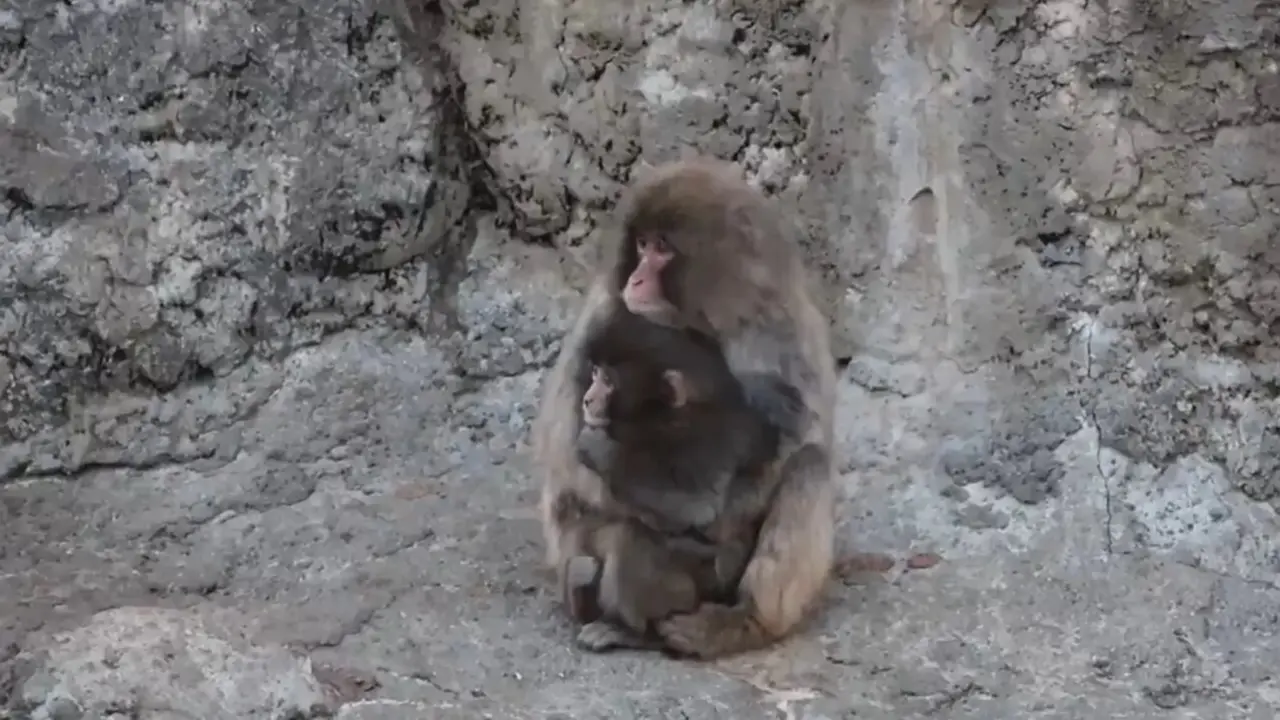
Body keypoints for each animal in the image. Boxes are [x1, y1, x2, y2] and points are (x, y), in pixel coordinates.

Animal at [533, 156, 839, 659]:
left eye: (661, 248)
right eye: (640, 245)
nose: (635, 278)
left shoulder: (779, 327)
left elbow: (796, 437)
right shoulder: (603, 313)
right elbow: (566, 457)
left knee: (809, 466)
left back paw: (743, 621)